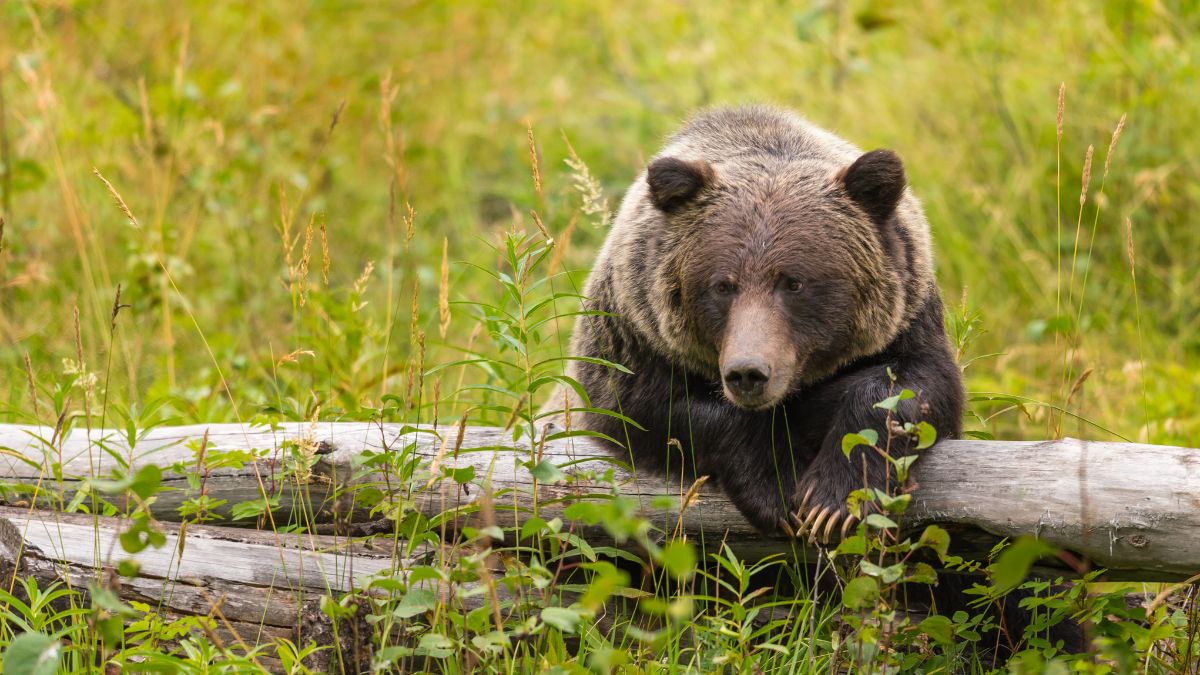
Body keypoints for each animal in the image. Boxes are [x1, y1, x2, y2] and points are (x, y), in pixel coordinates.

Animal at [557, 105, 965, 539]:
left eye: (793, 282)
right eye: (723, 285)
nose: (748, 373)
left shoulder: (909, 321)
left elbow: (910, 387)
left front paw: (832, 501)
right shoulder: (634, 338)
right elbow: (653, 411)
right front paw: (779, 491)